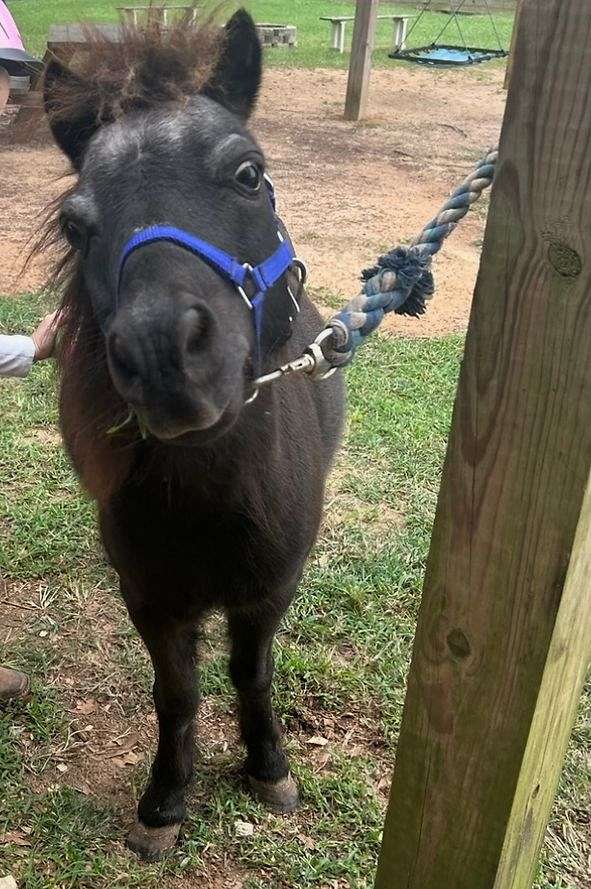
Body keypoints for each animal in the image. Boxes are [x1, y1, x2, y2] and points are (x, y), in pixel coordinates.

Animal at [40, 8, 345, 861]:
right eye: (76, 224)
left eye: (247, 173)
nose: (160, 353)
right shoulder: (152, 599)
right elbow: (175, 693)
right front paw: (165, 799)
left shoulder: (268, 590)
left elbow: (251, 673)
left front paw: (268, 767)